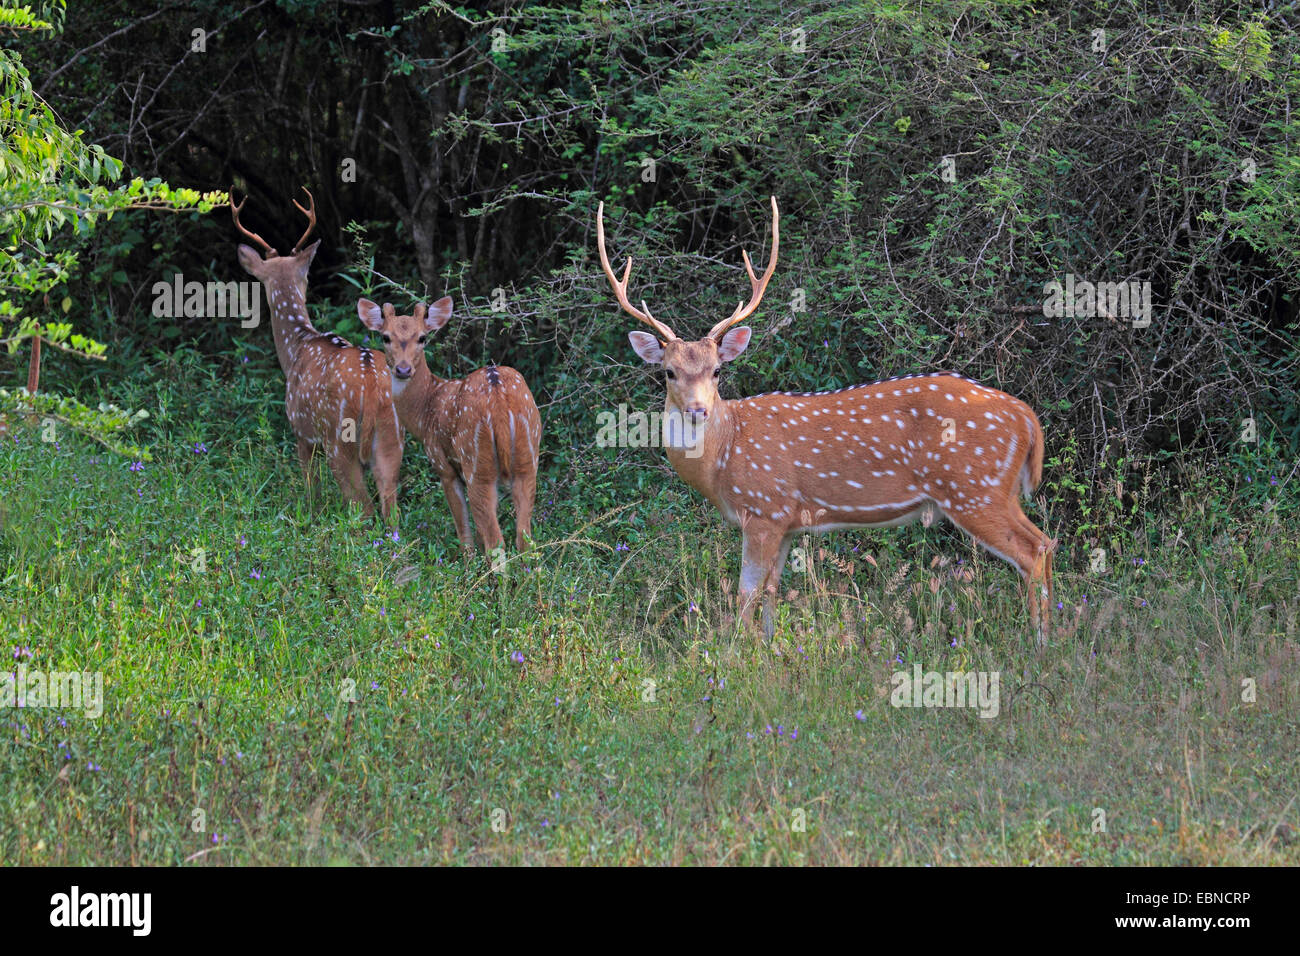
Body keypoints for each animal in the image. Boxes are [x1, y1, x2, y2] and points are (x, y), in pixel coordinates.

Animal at [230, 187, 400, 522]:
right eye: (305, 277)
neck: (297, 346)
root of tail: (373, 387)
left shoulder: (301, 431)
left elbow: (311, 489)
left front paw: (309, 516)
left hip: (339, 440)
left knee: (363, 507)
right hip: (391, 438)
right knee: (391, 508)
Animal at [358, 297, 540, 554]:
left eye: (422, 337)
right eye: (385, 337)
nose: (403, 369)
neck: (426, 409)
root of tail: (498, 400)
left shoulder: (443, 466)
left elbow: (464, 532)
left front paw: (468, 560)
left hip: (477, 464)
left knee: (496, 542)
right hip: (528, 457)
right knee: (525, 539)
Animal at [598, 197, 1055, 639]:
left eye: (717, 370)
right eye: (668, 372)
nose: (697, 409)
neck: (723, 458)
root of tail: (1025, 416)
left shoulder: (764, 507)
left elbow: (746, 592)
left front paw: (737, 651)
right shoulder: (786, 522)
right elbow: (771, 589)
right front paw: (770, 645)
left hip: (974, 487)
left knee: (1033, 549)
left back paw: (1040, 640)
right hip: (995, 490)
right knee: (1044, 543)